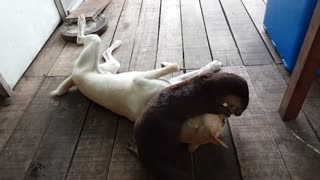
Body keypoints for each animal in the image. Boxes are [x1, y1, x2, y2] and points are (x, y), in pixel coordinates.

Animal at [51, 14, 238, 150]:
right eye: (222, 118)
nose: (229, 113)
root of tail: (75, 76)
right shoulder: (143, 78)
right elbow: (178, 67)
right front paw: (172, 64)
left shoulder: (172, 83)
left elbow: (196, 72)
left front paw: (212, 66)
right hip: (93, 49)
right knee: (80, 39)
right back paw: (82, 20)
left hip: (111, 66)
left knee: (105, 53)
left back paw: (114, 42)